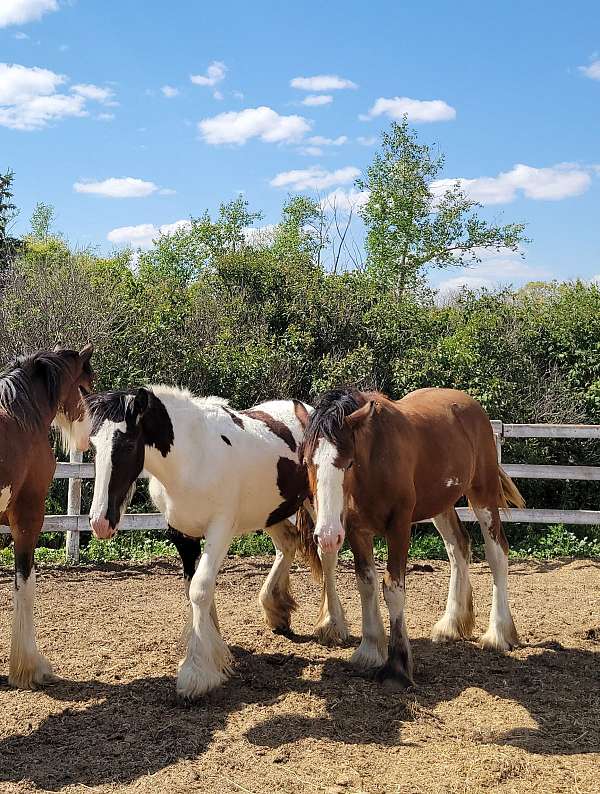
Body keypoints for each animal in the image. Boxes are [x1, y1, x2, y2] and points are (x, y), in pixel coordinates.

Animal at [84, 386, 346, 696]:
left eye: (126, 444)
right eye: (92, 446)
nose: (100, 521)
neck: (191, 458)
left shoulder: (220, 529)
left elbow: (199, 589)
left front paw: (197, 671)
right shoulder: (181, 534)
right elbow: (193, 590)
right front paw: (214, 646)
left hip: (317, 504)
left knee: (326, 553)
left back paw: (332, 625)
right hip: (270, 512)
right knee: (288, 543)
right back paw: (276, 609)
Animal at [300, 386, 524, 684]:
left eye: (348, 463)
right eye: (307, 463)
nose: (327, 535)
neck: (375, 461)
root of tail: (472, 406)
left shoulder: (399, 527)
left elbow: (393, 589)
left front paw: (397, 665)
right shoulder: (358, 530)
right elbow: (366, 584)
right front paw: (369, 650)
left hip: (483, 494)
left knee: (497, 553)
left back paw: (498, 634)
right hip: (441, 505)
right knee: (458, 547)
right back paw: (451, 625)